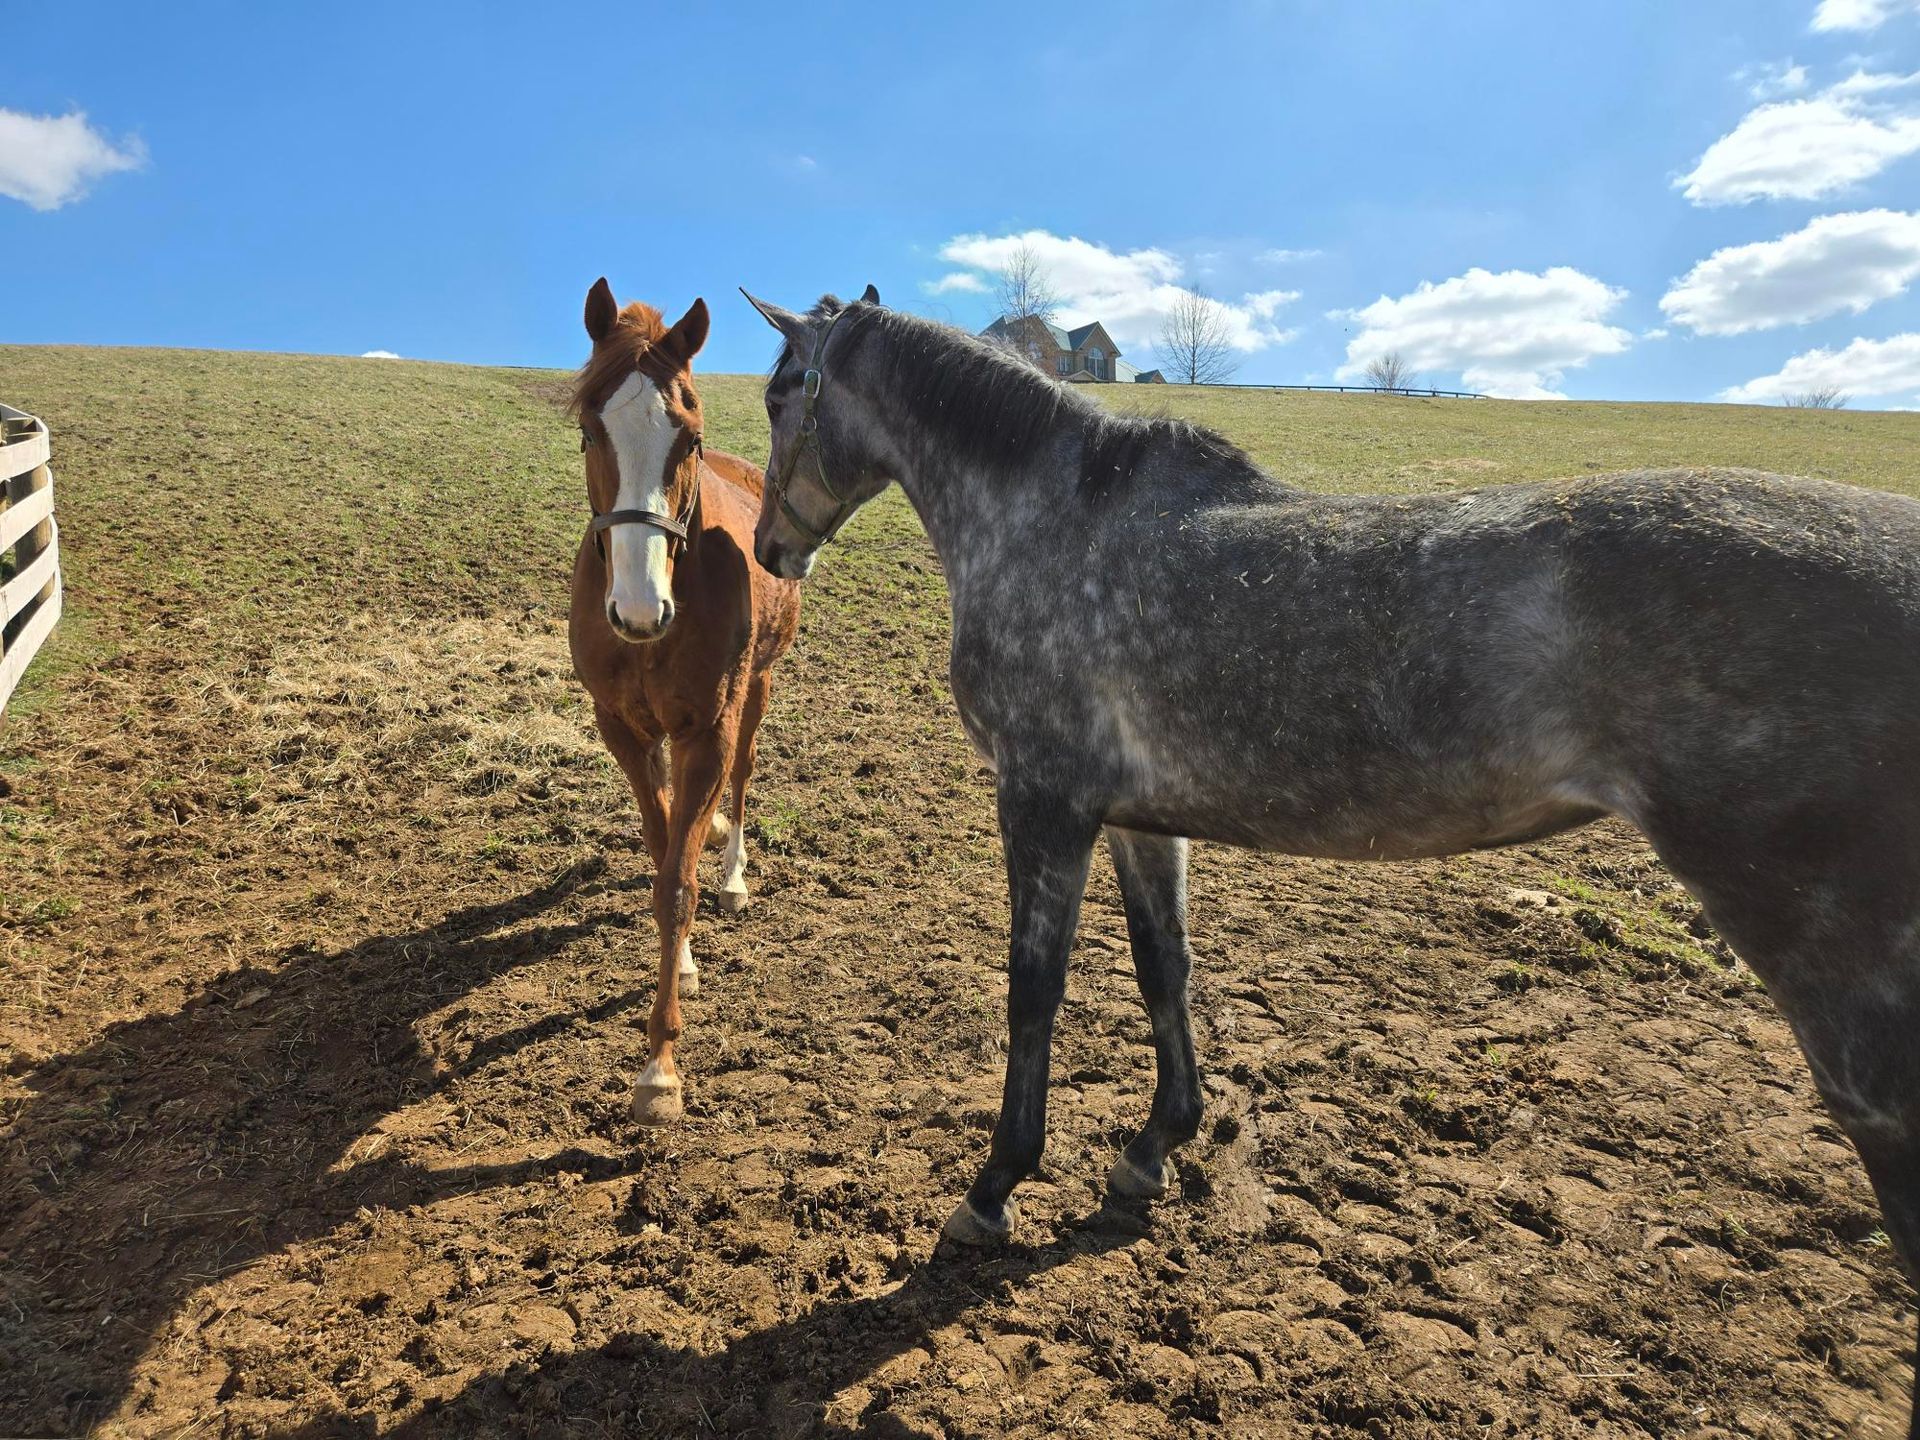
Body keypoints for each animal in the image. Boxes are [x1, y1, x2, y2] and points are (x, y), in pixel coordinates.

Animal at [568, 278, 799, 1124]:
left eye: (688, 437)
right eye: (589, 431)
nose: (639, 610)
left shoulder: (708, 729)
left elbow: (677, 881)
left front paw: (660, 1067)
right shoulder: (623, 730)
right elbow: (661, 843)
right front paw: (684, 968)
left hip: (758, 689)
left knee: (743, 779)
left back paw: (733, 876)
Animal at [744, 286, 1920, 1432]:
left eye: (777, 393)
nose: (765, 550)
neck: (1057, 524)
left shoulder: (1043, 806)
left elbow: (1034, 991)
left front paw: (993, 1189)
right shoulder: (1136, 818)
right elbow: (1163, 970)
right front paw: (1156, 1145)